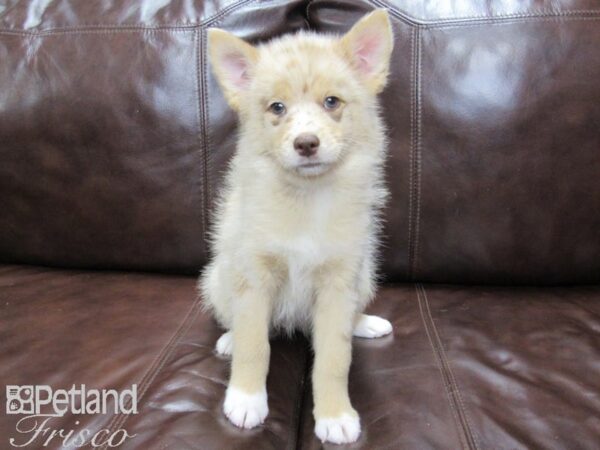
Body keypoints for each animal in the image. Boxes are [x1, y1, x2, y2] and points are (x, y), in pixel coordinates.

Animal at [202, 10, 396, 446]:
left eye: (332, 102)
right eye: (277, 107)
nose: (306, 143)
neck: (308, 197)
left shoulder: (339, 282)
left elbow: (335, 359)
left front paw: (335, 415)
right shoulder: (255, 276)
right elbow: (255, 345)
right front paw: (245, 399)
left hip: (365, 278)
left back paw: (366, 323)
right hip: (219, 279)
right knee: (236, 322)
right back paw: (229, 339)